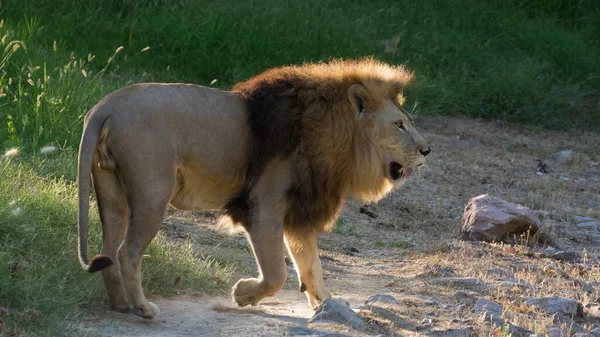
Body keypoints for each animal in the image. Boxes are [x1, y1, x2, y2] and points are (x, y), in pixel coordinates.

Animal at [76, 57, 432, 318]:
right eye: (399, 125)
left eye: (409, 122)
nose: (427, 151)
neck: (337, 135)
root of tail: (105, 107)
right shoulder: (263, 205)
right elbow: (277, 273)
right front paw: (243, 294)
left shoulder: (298, 210)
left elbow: (311, 265)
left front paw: (327, 304)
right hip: (152, 193)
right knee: (128, 251)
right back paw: (142, 308)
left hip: (111, 194)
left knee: (108, 251)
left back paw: (120, 305)